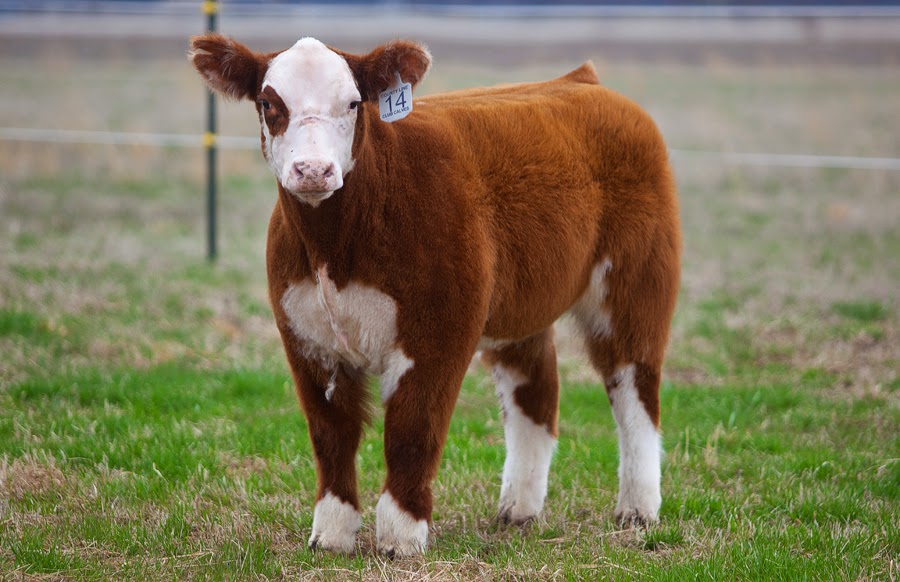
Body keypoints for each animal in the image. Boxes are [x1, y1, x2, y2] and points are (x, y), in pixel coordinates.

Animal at [190, 33, 680, 557]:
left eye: (353, 102)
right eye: (268, 103)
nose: (313, 170)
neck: (336, 248)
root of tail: (584, 81)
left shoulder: (438, 332)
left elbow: (412, 428)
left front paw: (401, 536)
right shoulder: (304, 336)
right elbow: (330, 432)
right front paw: (332, 534)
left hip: (637, 282)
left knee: (634, 388)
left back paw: (637, 510)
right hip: (519, 306)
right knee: (535, 389)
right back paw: (519, 509)